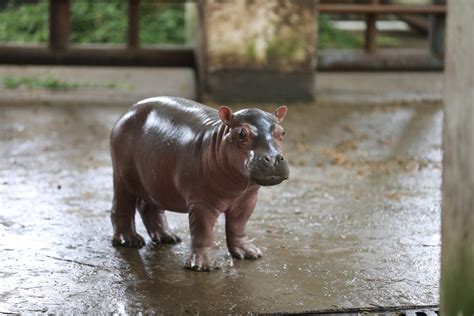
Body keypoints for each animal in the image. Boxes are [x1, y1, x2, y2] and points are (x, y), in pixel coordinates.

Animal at [110, 95, 288, 270]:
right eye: (241, 133)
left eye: (282, 132)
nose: (273, 159)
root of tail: (129, 110)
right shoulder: (201, 202)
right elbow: (203, 232)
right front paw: (202, 265)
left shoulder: (246, 201)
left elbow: (238, 226)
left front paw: (248, 253)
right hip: (122, 176)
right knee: (122, 206)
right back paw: (130, 241)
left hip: (154, 179)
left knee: (148, 207)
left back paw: (168, 237)